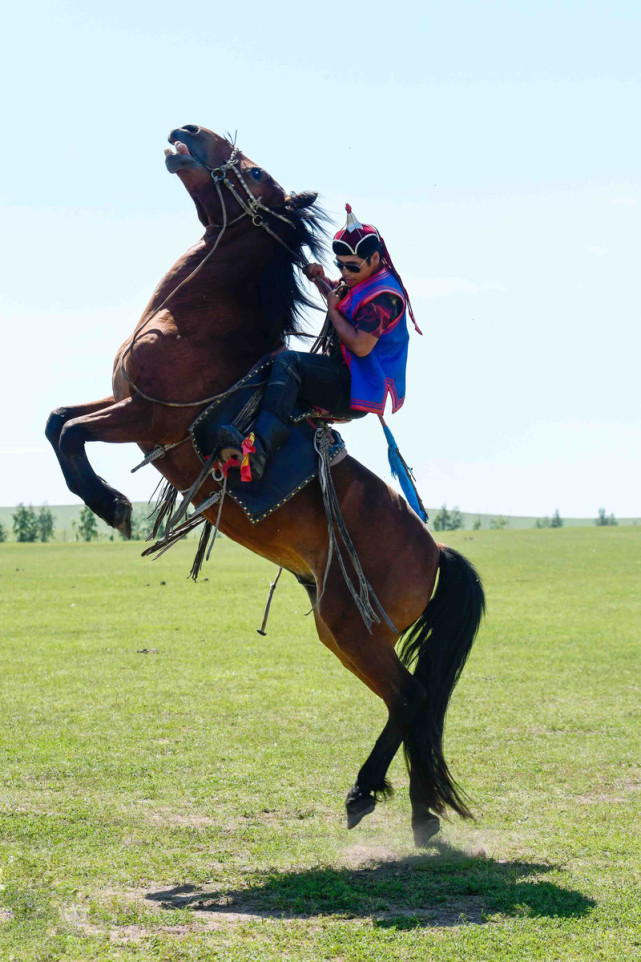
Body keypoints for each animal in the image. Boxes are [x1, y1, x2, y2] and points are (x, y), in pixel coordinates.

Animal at [46, 124, 484, 844]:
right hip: (347, 627)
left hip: (349, 627)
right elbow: (58, 420)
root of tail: (435, 550)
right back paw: (404, 805)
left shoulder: (145, 416)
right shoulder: (123, 405)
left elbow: (70, 435)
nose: (186, 131)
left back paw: (382, 798)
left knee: (411, 696)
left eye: (252, 171)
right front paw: (105, 498)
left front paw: (110, 505)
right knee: (412, 704)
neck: (196, 320)